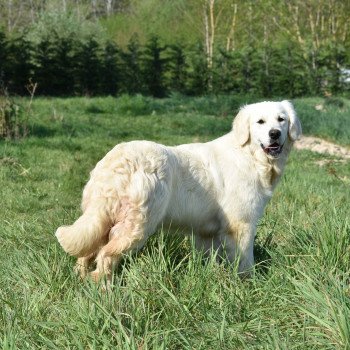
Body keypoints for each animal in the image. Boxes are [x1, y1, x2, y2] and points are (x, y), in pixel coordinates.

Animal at [56, 100, 302, 282]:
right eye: (260, 121)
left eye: (281, 119)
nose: (274, 134)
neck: (250, 156)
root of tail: (118, 160)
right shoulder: (242, 224)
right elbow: (245, 259)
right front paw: (249, 282)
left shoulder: (206, 232)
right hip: (138, 225)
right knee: (105, 256)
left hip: (104, 219)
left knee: (87, 253)